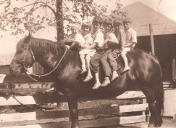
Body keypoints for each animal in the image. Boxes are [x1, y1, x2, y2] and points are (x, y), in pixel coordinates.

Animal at [9, 34, 164, 128]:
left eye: (22, 49)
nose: (11, 69)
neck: (65, 62)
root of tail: (151, 56)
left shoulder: (71, 94)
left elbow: (74, 113)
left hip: (149, 87)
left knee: (153, 106)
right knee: (153, 106)